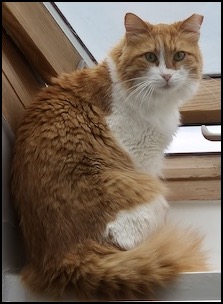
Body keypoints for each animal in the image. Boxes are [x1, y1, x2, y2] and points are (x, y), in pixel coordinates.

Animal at [10, 12, 207, 302]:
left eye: (179, 56)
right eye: (150, 57)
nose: (167, 76)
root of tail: (65, 262)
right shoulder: (141, 157)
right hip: (150, 199)